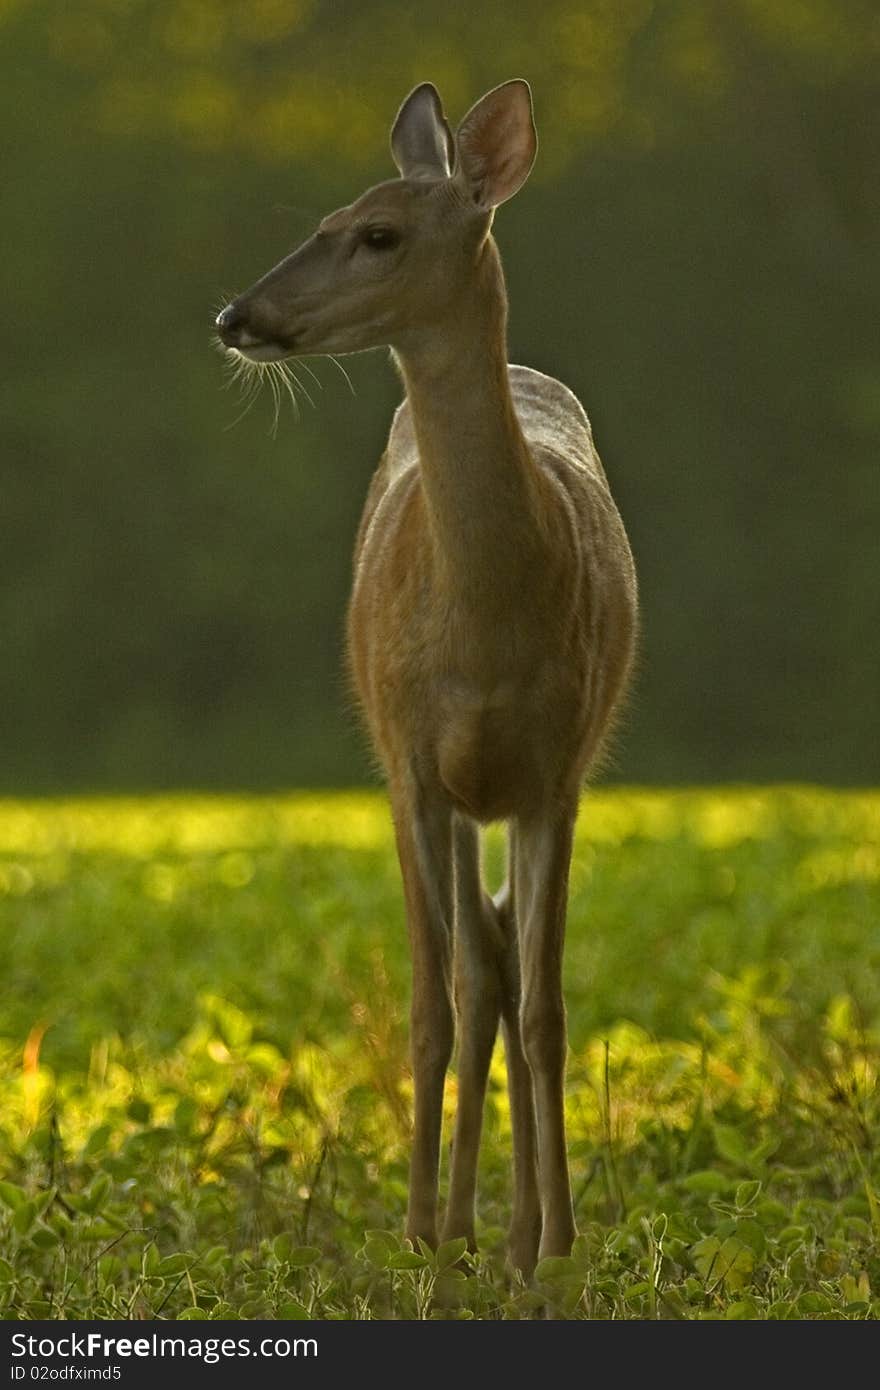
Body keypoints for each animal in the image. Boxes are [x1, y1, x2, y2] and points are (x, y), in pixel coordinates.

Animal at [215, 81, 633, 1273]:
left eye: (379, 234)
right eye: (326, 216)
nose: (234, 317)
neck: (484, 625)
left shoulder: (556, 770)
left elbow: (544, 1008)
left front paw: (554, 1249)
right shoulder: (409, 762)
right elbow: (431, 1003)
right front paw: (420, 1237)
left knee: (502, 967)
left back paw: (513, 1233)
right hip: (440, 788)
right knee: (473, 967)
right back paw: (455, 1228)